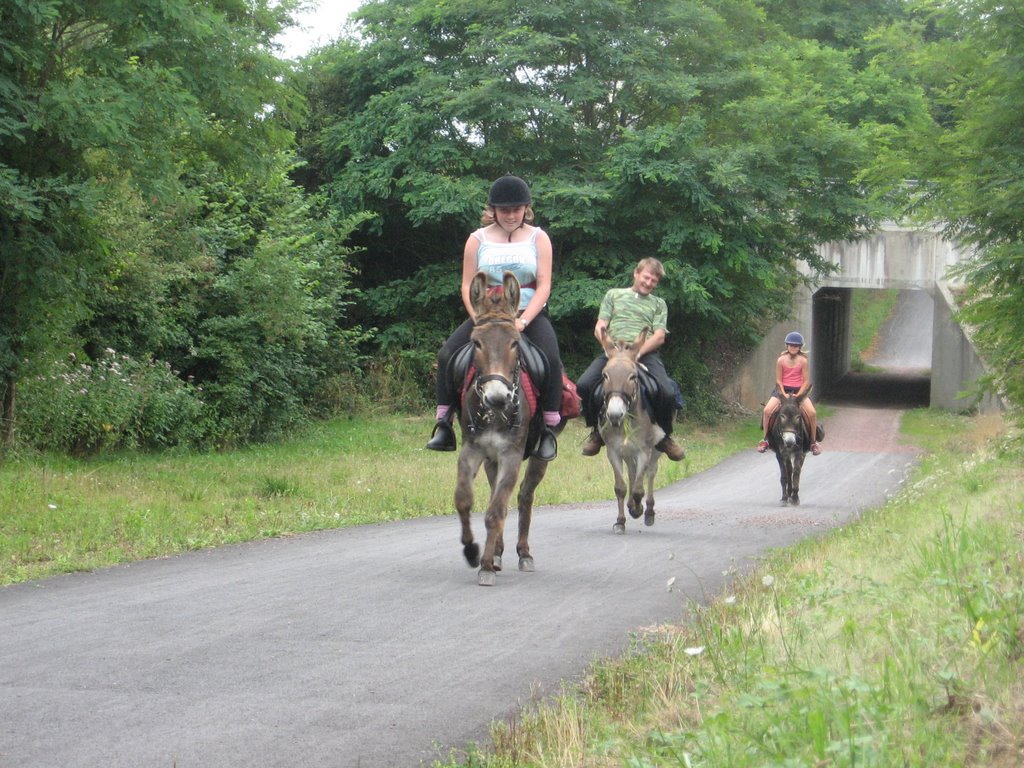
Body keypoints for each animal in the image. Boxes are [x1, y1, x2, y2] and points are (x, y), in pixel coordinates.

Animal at [454, 274, 557, 585]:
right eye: (476, 343)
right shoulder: (472, 450)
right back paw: (498, 551)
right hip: (491, 459)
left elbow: (496, 511)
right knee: (493, 492)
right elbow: (464, 501)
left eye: (514, 343)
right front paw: (473, 552)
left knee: (524, 496)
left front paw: (486, 566)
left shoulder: (511, 455)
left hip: (538, 456)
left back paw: (523, 553)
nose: (497, 398)